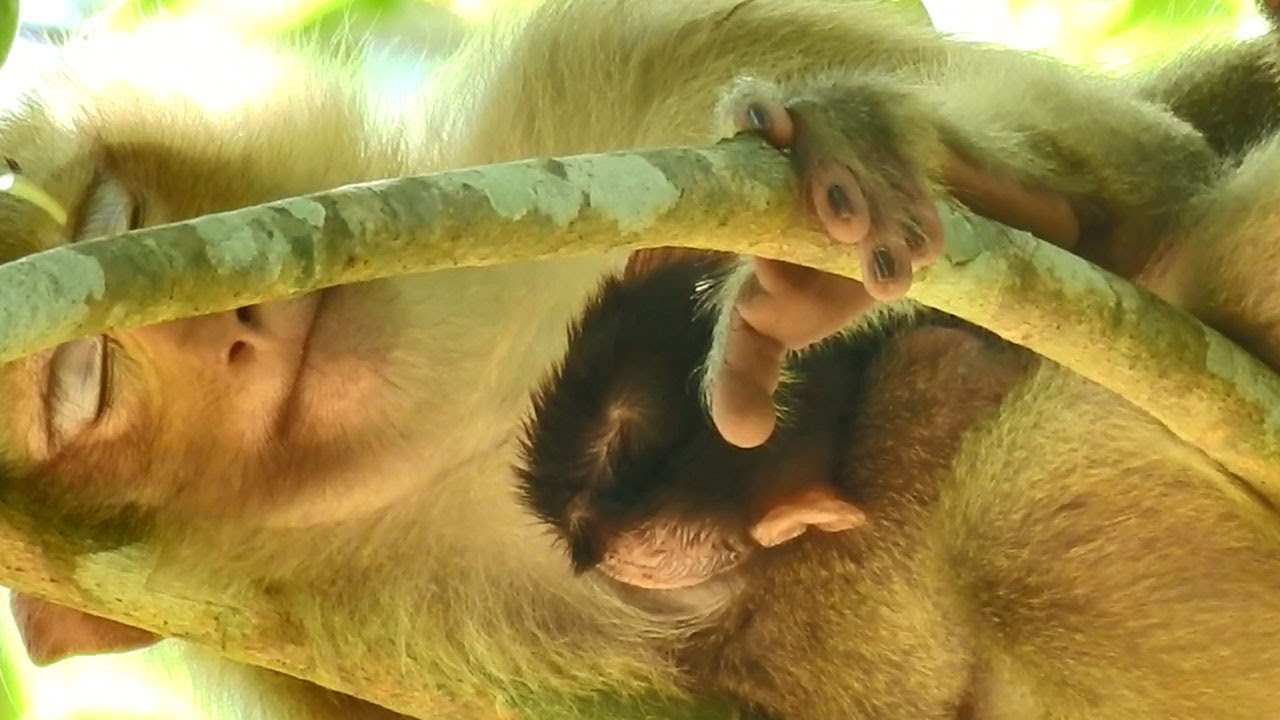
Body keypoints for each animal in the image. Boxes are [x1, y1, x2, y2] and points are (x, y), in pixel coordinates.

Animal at [3, 1, 1280, 719]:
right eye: (87, 390)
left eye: (121, 220)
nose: (228, 329)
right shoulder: (319, 631)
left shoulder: (589, 72)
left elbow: (1159, 154)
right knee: (1023, 524)